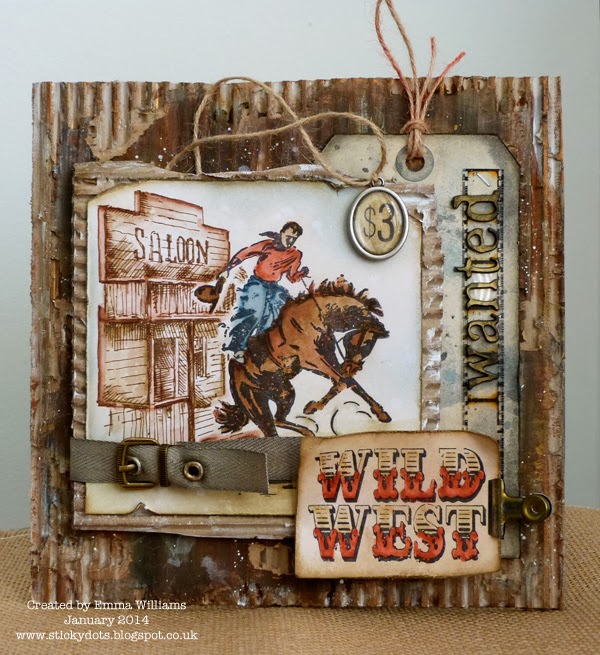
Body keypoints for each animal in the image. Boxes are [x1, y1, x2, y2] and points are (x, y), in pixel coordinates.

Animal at [214, 277, 391, 438]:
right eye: (355, 342)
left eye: (369, 345)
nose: (352, 368)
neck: (314, 318)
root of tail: (233, 379)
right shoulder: (313, 361)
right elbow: (344, 381)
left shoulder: (327, 358)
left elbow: (346, 382)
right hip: (258, 407)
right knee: (272, 427)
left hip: (285, 393)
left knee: (278, 419)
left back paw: (307, 431)